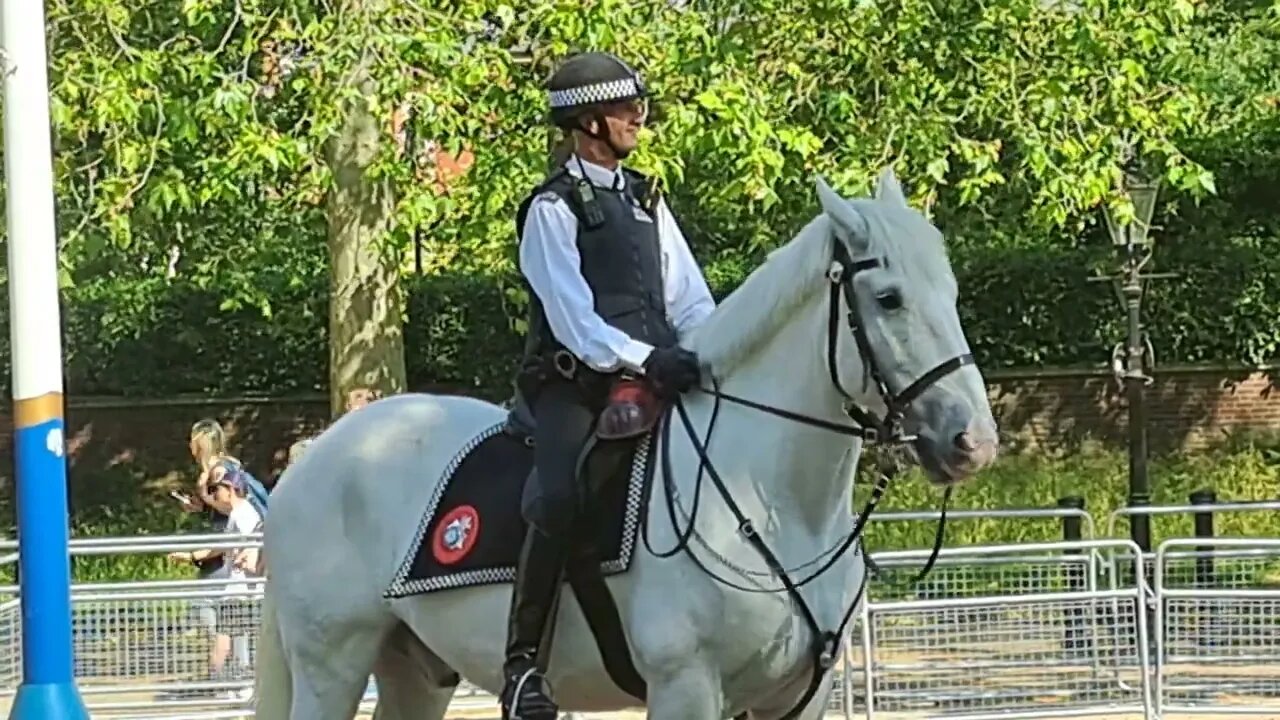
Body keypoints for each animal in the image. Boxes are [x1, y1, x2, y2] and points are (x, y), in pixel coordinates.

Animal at [257, 169, 998, 717]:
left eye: (954, 291)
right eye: (890, 298)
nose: (972, 441)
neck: (774, 506)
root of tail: (315, 457)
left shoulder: (793, 701)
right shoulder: (686, 689)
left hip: (413, 672)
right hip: (331, 664)